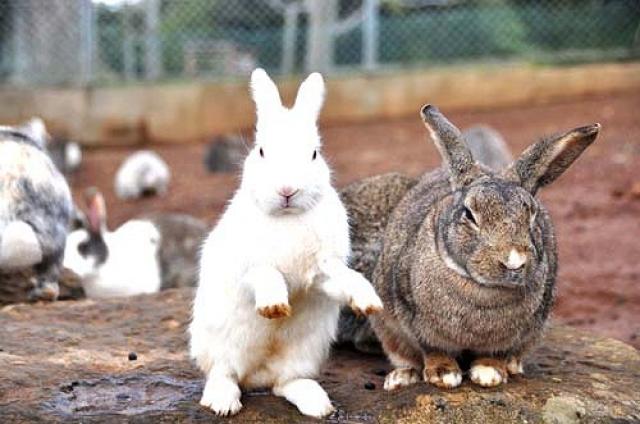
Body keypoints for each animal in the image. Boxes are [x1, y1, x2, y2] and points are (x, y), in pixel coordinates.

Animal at [188, 68, 382, 418]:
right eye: (262, 151)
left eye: (314, 153)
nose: (287, 190)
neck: (289, 216)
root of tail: (257, 377)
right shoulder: (247, 267)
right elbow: (266, 275)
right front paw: (274, 306)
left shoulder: (323, 271)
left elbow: (343, 279)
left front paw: (367, 301)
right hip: (219, 343)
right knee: (224, 373)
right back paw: (222, 402)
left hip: (305, 353)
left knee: (284, 384)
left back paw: (318, 405)